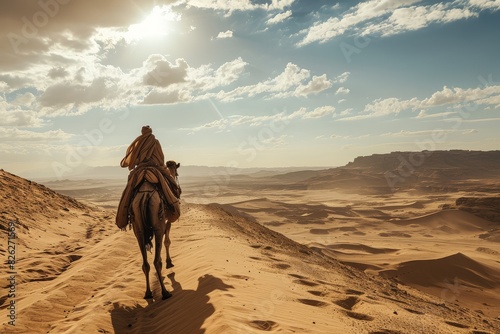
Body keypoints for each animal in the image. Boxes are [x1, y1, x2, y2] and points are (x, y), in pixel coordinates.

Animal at [131, 160, 182, 298]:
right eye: (176, 173)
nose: (179, 189)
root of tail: (144, 197)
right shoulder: (166, 220)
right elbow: (167, 240)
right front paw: (169, 262)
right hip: (157, 223)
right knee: (155, 262)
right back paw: (165, 292)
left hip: (138, 230)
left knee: (145, 263)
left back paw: (148, 292)